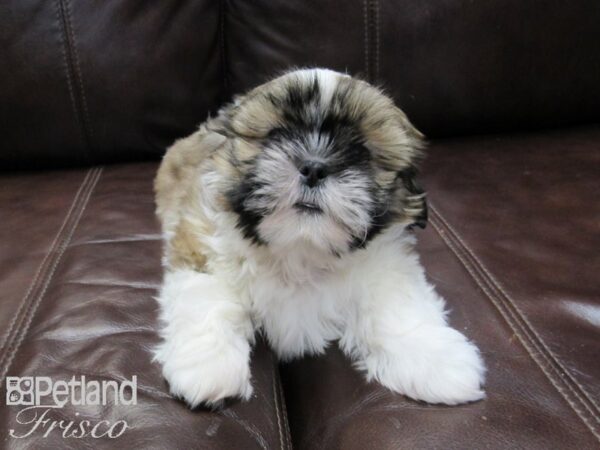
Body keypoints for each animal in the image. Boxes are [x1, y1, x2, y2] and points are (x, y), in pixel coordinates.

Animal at [152, 67, 486, 408]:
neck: (301, 247)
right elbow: (208, 298)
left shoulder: (387, 265)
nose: (313, 167)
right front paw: (208, 365)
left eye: (361, 152)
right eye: (276, 136)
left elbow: (396, 306)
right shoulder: (203, 246)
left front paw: (436, 360)